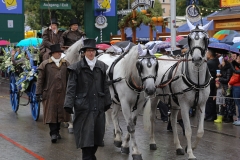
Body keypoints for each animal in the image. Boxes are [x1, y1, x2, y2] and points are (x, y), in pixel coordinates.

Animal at [143, 19, 213, 159]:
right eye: (190, 39)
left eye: (205, 39)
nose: (196, 59)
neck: (197, 79)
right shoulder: (185, 105)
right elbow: (189, 130)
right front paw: (190, 153)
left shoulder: (201, 104)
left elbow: (200, 131)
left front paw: (189, 148)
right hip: (154, 98)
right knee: (152, 118)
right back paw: (152, 142)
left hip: (174, 103)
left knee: (173, 119)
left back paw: (178, 147)